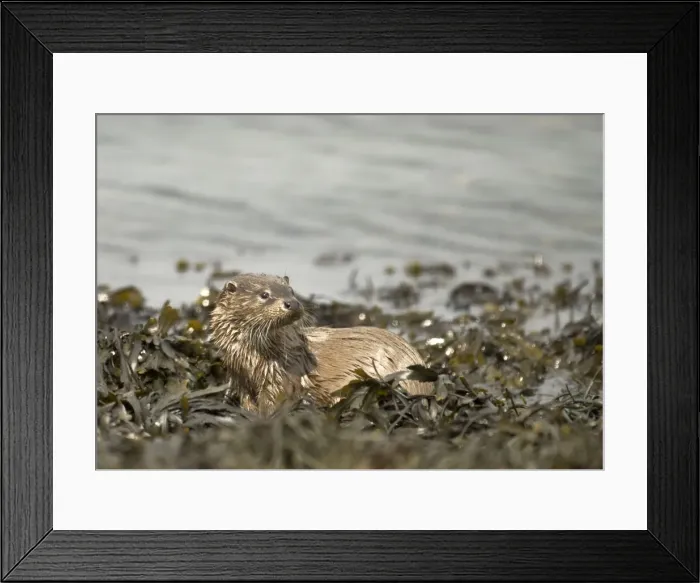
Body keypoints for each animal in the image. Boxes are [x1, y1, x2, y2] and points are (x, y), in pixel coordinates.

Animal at [209, 273, 433, 415]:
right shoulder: (240, 379)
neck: (252, 360)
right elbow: (247, 402)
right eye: (264, 294)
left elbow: (274, 403)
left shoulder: (281, 378)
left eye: (291, 291)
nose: (292, 303)